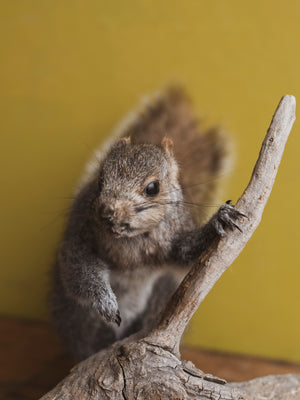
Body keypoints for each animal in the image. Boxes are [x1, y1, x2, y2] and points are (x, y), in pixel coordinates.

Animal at [51, 88, 244, 362]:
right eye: (99, 180)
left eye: (153, 188)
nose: (107, 212)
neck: (130, 239)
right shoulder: (79, 234)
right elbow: (79, 269)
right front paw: (105, 301)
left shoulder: (171, 242)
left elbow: (187, 254)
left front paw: (220, 219)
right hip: (78, 319)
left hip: (162, 293)